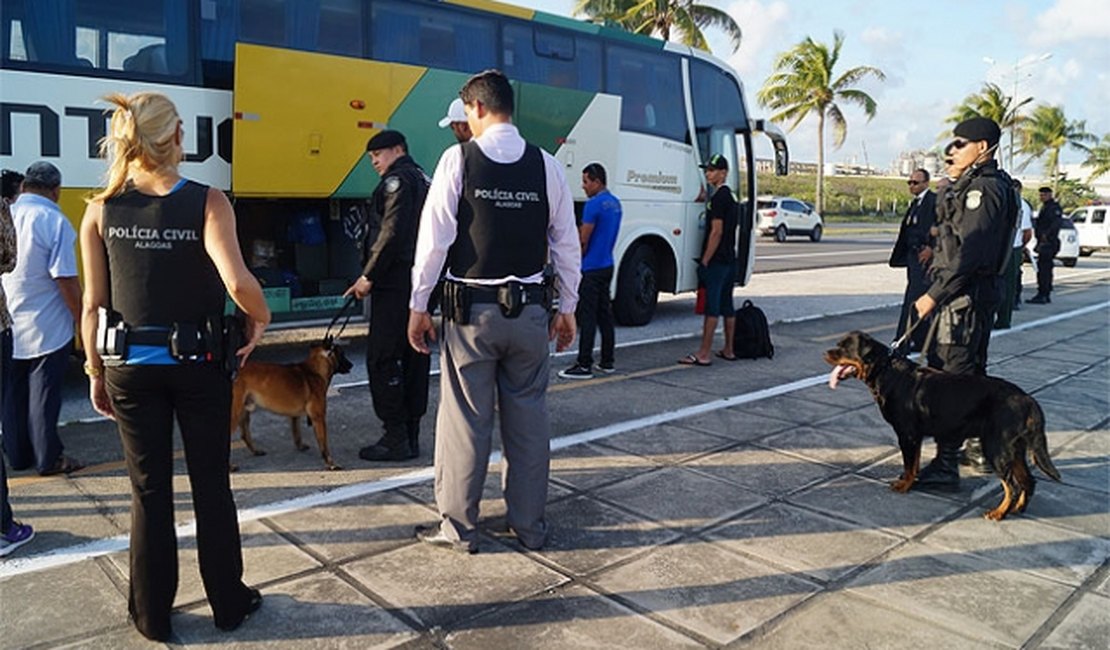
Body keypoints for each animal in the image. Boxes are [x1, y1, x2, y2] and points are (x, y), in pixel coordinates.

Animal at [231, 337, 352, 468]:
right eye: (342, 354)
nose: (351, 365)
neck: (315, 370)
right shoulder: (318, 418)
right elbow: (323, 443)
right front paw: (330, 463)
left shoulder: (295, 416)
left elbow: (296, 431)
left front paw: (300, 446)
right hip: (235, 414)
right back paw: (231, 466)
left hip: (244, 412)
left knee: (244, 435)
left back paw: (256, 451)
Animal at [825, 330, 1056, 519]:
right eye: (838, 344)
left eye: (844, 348)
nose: (825, 352)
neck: (885, 370)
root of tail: (1027, 399)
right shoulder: (915, 436)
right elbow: (914, 463)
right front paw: (910, 481)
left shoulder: (907, 434)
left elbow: (909, 464)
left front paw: (904, 485)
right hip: (1015, 448)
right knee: (1028, 481)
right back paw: (1018, 509)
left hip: (997, 447)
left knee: (1012, 486)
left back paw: (999, 513)